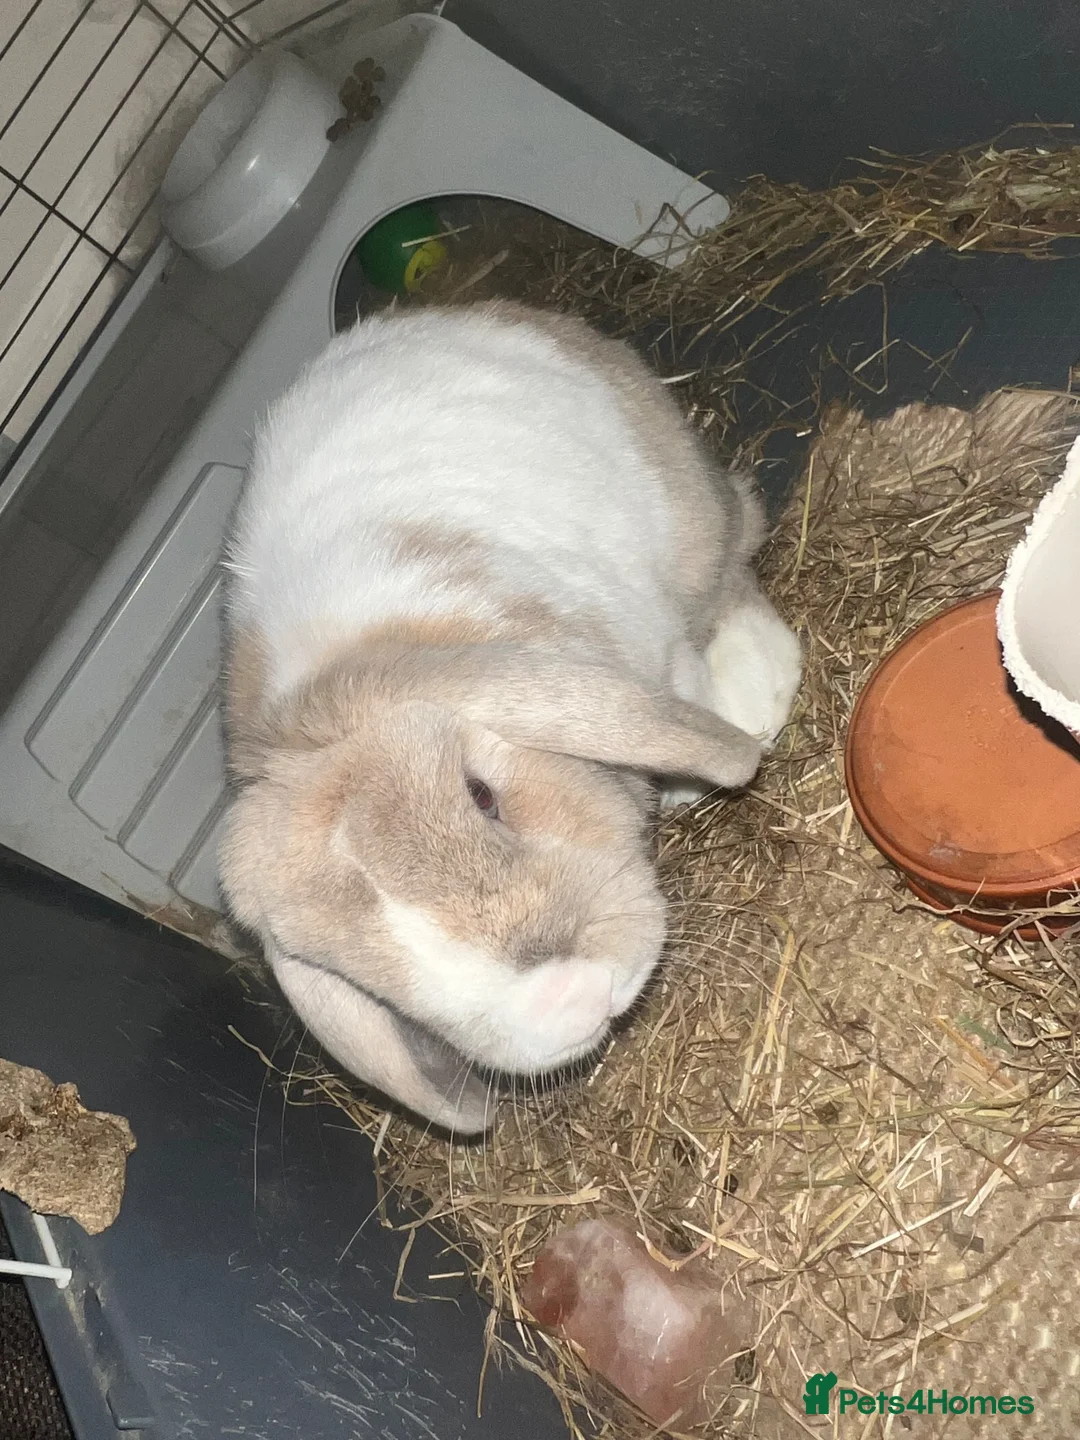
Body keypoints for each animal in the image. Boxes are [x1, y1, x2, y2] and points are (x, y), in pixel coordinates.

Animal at [218, 299, 801, 1136]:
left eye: (483, 794)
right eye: (357, 970)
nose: (570, 999)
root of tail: (438, 314)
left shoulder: (657, 649)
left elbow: (686, 690)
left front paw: (716, 760)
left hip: (686, 510)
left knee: (731, 562)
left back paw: (759, 693)